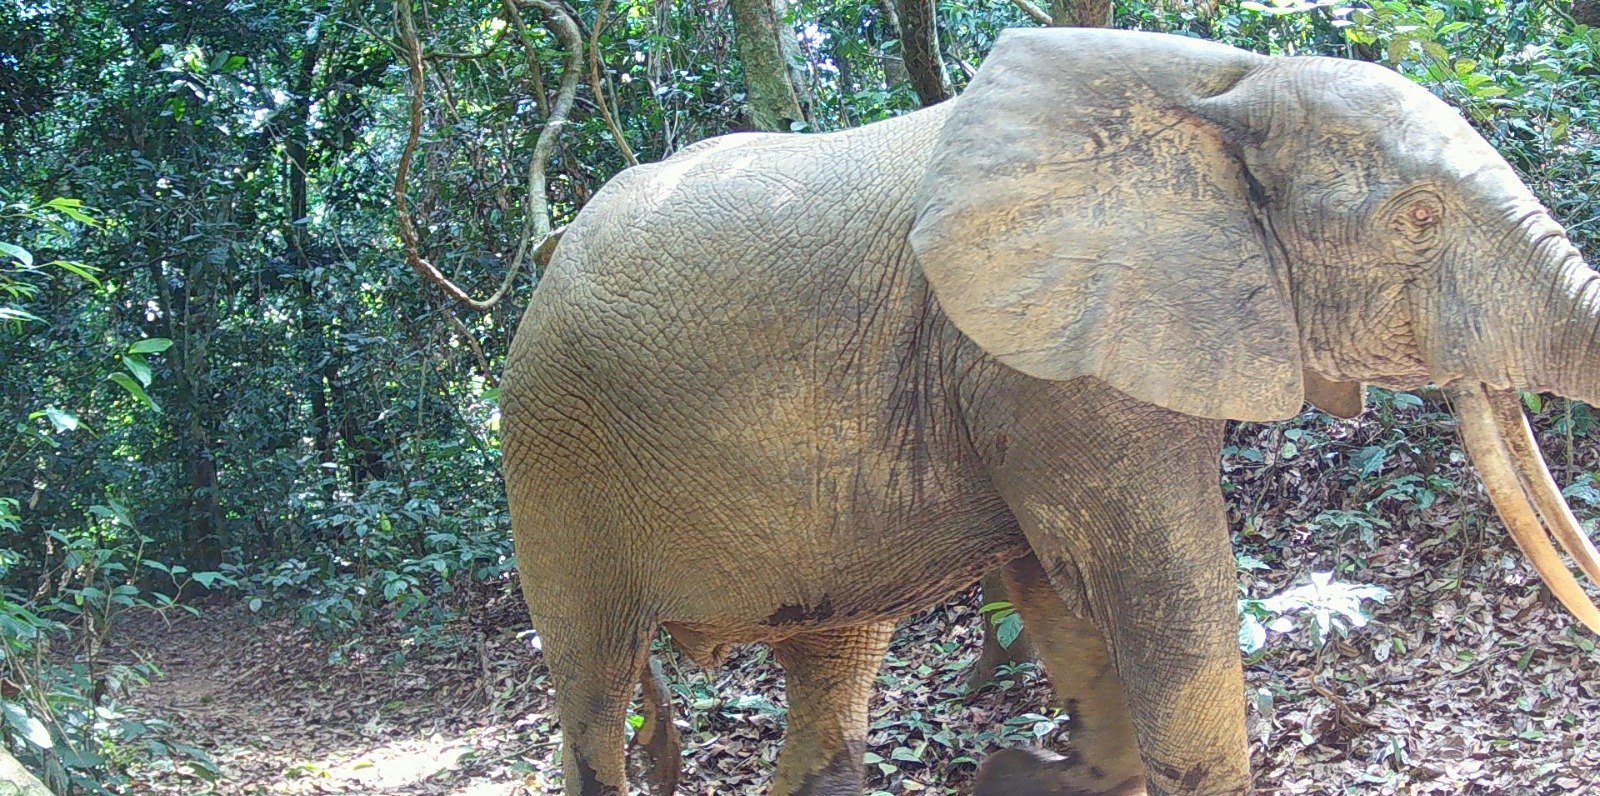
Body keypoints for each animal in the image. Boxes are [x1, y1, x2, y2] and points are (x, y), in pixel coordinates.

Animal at [501, 28, 1600, 796]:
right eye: (1418, 220)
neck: (1222, 83)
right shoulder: (1031, 363)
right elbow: (1158, 593)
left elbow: (1063, 589)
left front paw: (1024, 772)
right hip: (554, 458)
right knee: (597, 694)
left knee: (831, 670)